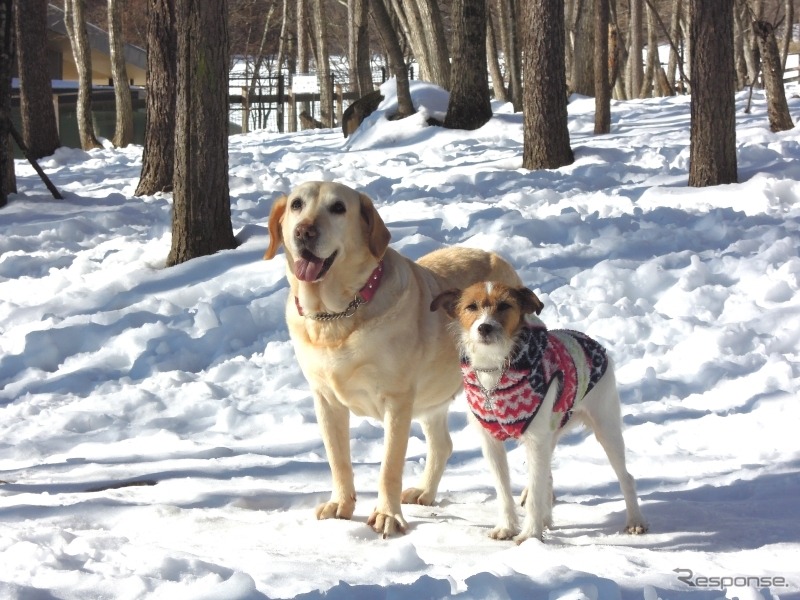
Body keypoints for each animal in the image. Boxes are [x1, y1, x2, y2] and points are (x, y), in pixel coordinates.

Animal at [266, 180, 520, 536]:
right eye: (296, 205)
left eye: (338, 208)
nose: (304, 231)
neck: (337, 316)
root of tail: (497, 257)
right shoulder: (325, 400)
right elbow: (338, 458)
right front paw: (341, 505)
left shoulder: (397, 399)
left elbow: (389, 465)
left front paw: (387, 516)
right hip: (432, 397)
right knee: (442, 445)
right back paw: (425, 491)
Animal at [428, 282, 648, 544]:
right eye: (471, 307)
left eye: (505, 305)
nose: (484, 327)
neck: (496, 371)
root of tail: (592, 342)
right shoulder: (491, 443)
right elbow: (503, 490)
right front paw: (507, 527)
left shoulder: (535, 440)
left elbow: (533, 492)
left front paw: (530, 536)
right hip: (552, 434)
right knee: (548, 479)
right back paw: (546, 520)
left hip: (606, 428)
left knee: (626, 478)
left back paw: (635, 521)